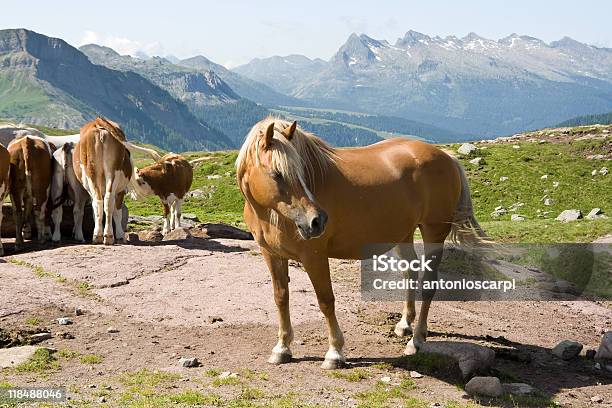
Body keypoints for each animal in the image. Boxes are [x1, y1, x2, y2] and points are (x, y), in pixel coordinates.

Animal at [237, 116, 486, 368]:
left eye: (302, 172)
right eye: (277, 174)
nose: (317, 221)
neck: (271, 215)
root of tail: (446, 157)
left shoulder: (314, 257)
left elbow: (325, 300)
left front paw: (335, 353)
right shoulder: (272, 254)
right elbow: (281, 297)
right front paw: (282, 348)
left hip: (433, 233)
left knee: (428, 284)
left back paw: (416, 340)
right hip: (403, 233)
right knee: (410, 272)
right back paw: (405, 325)